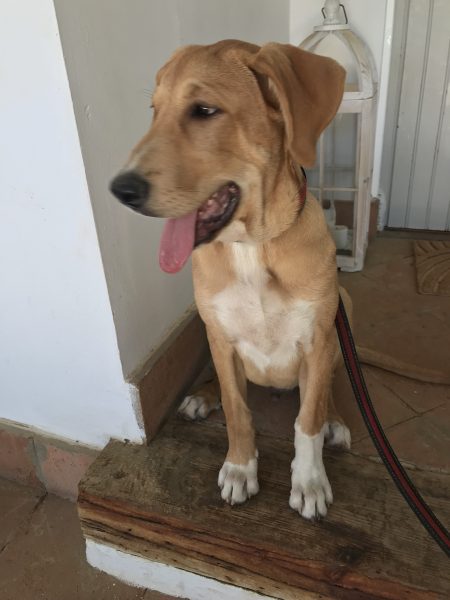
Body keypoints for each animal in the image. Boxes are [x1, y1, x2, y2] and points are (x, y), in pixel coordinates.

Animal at [110, 40, 352, 520]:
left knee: (326, 389)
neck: (251, 248)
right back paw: (203, 396)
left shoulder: (318, 339)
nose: (120, 191)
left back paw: (335, 417)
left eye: (204, 110)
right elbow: (237, 411)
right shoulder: (221, 336)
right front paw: (240, 469)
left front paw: (309, 480)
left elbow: (308, 420)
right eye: (154, 111)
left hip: (343, 309)